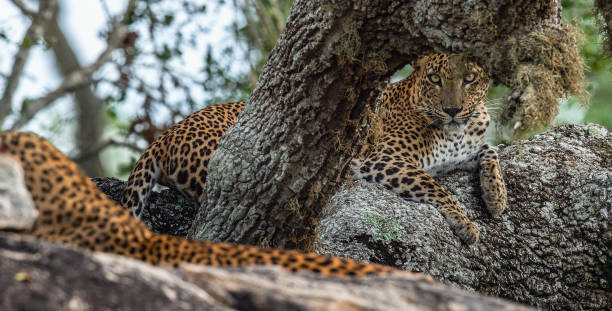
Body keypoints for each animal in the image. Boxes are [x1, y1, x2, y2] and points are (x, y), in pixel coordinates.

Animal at [350, 52, 506, 245]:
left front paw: (497, 196)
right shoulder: (384, 158)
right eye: (434, 78)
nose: (452, 110)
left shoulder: (459, 155)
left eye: (470, 78)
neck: (455, 135)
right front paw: (463, 222)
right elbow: (433, 186)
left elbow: (491, 150)